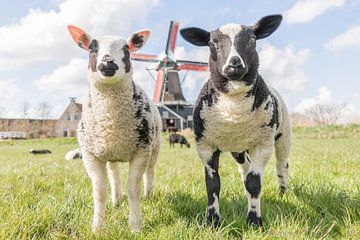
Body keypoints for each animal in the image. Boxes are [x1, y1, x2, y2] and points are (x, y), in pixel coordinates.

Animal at [67, 24, 162, 232]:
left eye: (126, 48)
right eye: (92, 48)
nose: (107, 62)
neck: (111, 122)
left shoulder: (141, 150)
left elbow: (133, 189)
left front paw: (135, 227)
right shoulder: (90, 155)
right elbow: (99, 191)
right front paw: (97, 227)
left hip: (155, 147)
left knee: (150, 172)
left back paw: (148, 195)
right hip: (110, 151)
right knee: (114, 174)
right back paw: (116, 200)